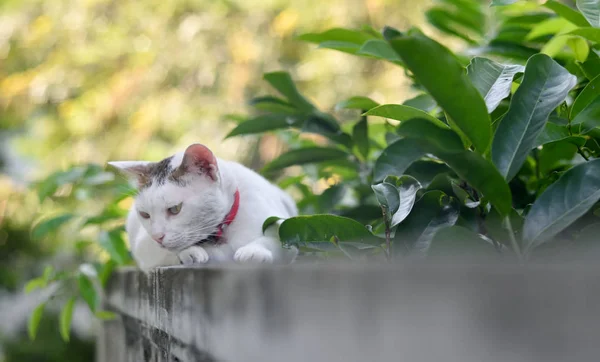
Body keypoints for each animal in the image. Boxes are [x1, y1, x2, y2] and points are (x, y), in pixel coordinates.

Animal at [107, 143, 298, 270]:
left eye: (175, 209)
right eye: (145, 214)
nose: (157, 237)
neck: (220, 233)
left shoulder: (283, 226)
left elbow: (275, 241)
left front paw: (253, 251)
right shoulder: (144, 247)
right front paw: (191, 253)